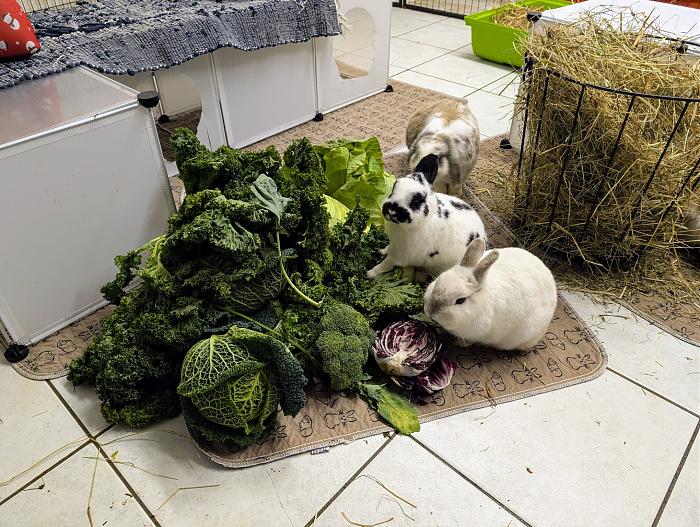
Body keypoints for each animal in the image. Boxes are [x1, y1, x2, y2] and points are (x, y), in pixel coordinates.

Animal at [424, 237, 558, 351]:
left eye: (460, 300)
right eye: (438, 280)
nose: (431, 312)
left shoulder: (476, 335)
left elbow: (469, 341)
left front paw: (459, 343)